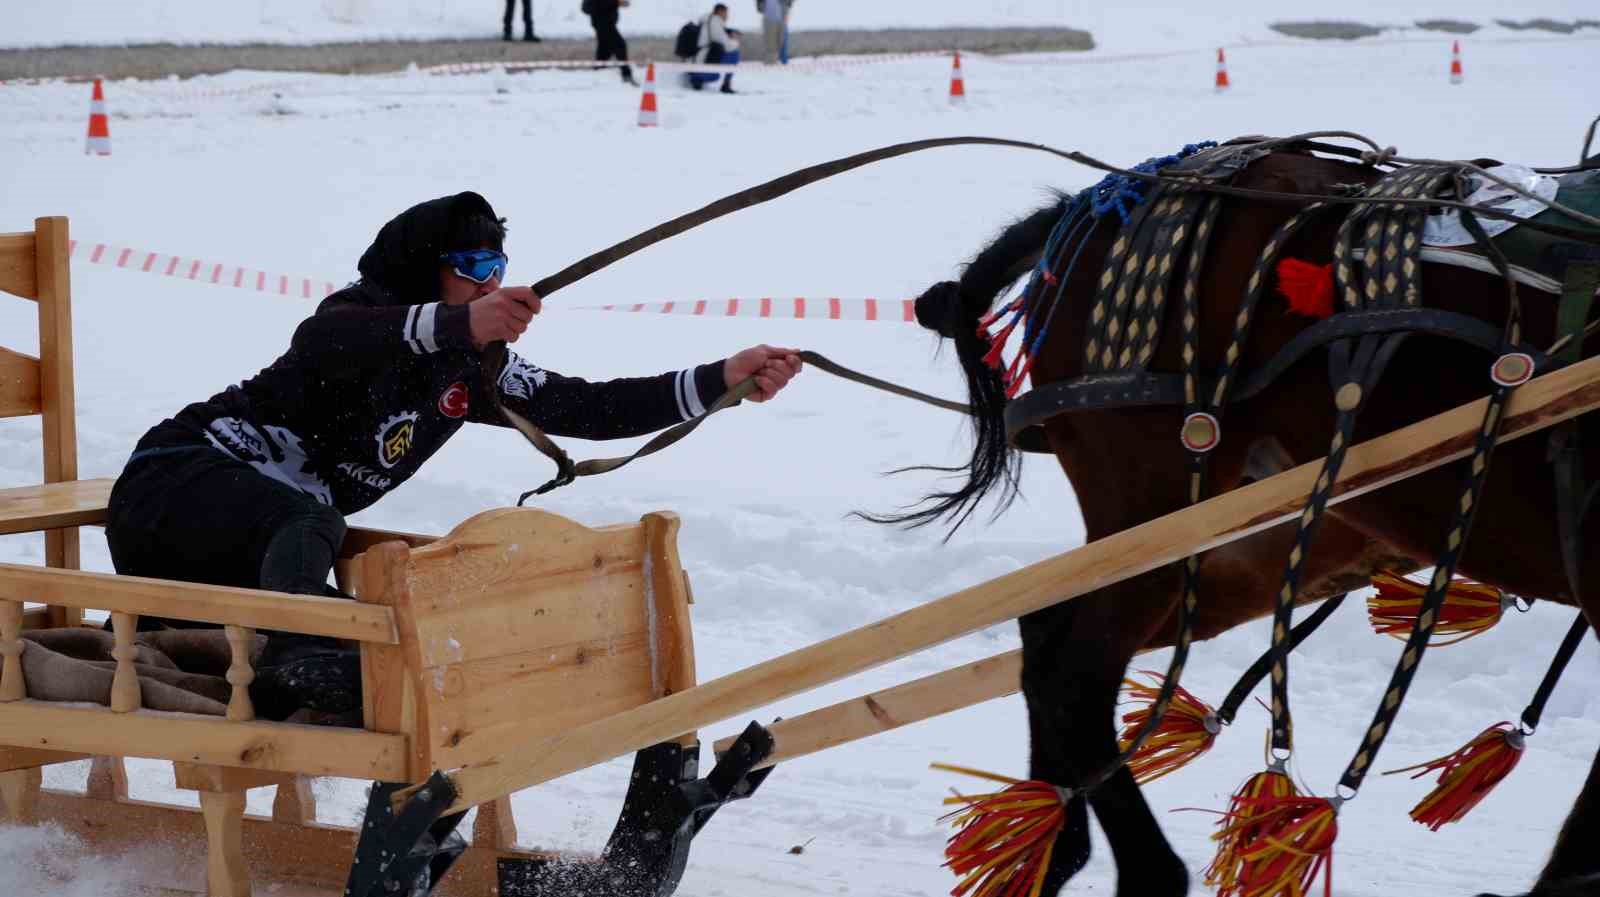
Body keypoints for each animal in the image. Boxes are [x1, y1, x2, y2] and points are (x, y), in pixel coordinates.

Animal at [902, 141, 1600, 895]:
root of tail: (1098, 201)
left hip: (1262, 537)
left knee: (1046, 638)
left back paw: (1049, 842)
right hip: (1158, 510)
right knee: (1074, 676)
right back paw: (1136, 867)